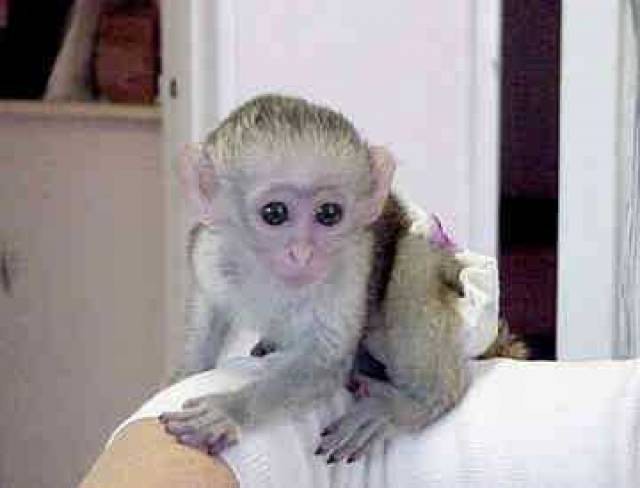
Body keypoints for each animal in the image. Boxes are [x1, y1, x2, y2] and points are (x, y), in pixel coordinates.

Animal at [159, 94, 471, 464]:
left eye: (329, 214)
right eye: (274, 213)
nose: (303, 254)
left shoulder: (352, 260)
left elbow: (326, 360)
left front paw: (231, 410)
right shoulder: (209, 252)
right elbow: (208, 319)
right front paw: (184, 375)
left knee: (413, 262)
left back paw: (417, 403)